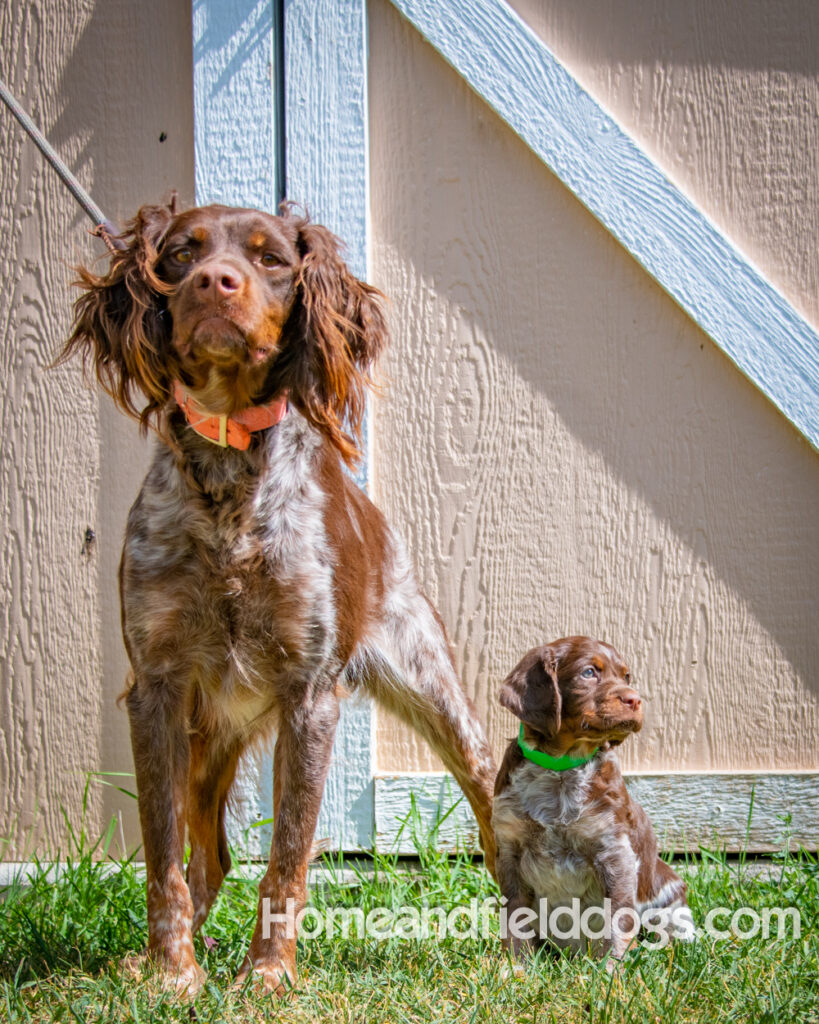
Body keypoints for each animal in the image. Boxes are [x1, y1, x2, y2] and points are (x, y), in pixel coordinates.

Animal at [62, 201, 493, 999]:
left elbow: (288, 856)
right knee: (210, 857)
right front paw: (172, 972)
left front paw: (267, 975)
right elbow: (164, 858)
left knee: (489, 805)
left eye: (270, 259)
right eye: (180, 253)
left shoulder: (309, 692)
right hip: (207, 739)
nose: (214, 283)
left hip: (433, 690)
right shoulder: (156, 687)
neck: (230, 472)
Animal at [489, 638, 696, 966]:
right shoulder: (510, 849)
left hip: (667, 894)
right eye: (589, 672)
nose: (636, 700)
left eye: (626, 676)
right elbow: (515, 917)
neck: (561, 769)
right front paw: (516, 967)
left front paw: (609, 970)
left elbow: (617, 918)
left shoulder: (613, 851)